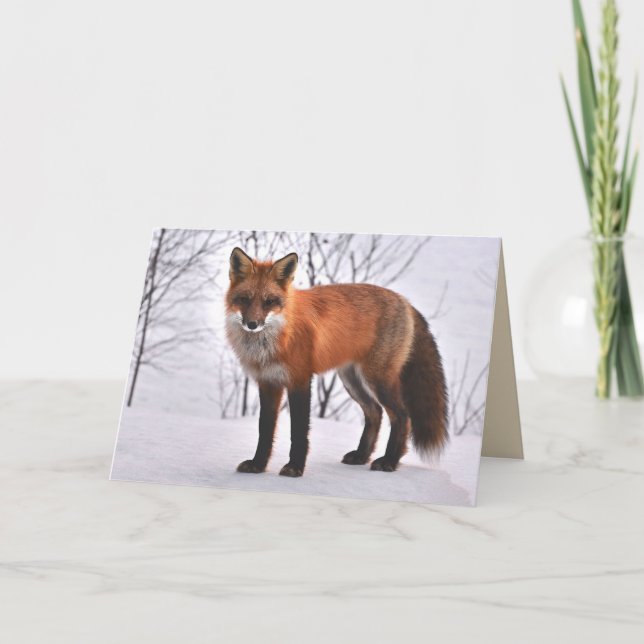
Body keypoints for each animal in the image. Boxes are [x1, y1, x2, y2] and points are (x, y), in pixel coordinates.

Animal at [225, 246, 448, 478]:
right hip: (352, 380)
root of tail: (404, 300)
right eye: (244, 299)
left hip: (378, 380)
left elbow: (298, 430)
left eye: (269, 301)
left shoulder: (300, 380)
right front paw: (258, 464)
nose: (252, 324)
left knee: (403, 416)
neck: (273, 341)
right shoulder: (268, 382)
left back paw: (389, 461)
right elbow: (265, 430)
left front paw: (295, 467)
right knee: (375, 413)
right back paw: (361, 455)